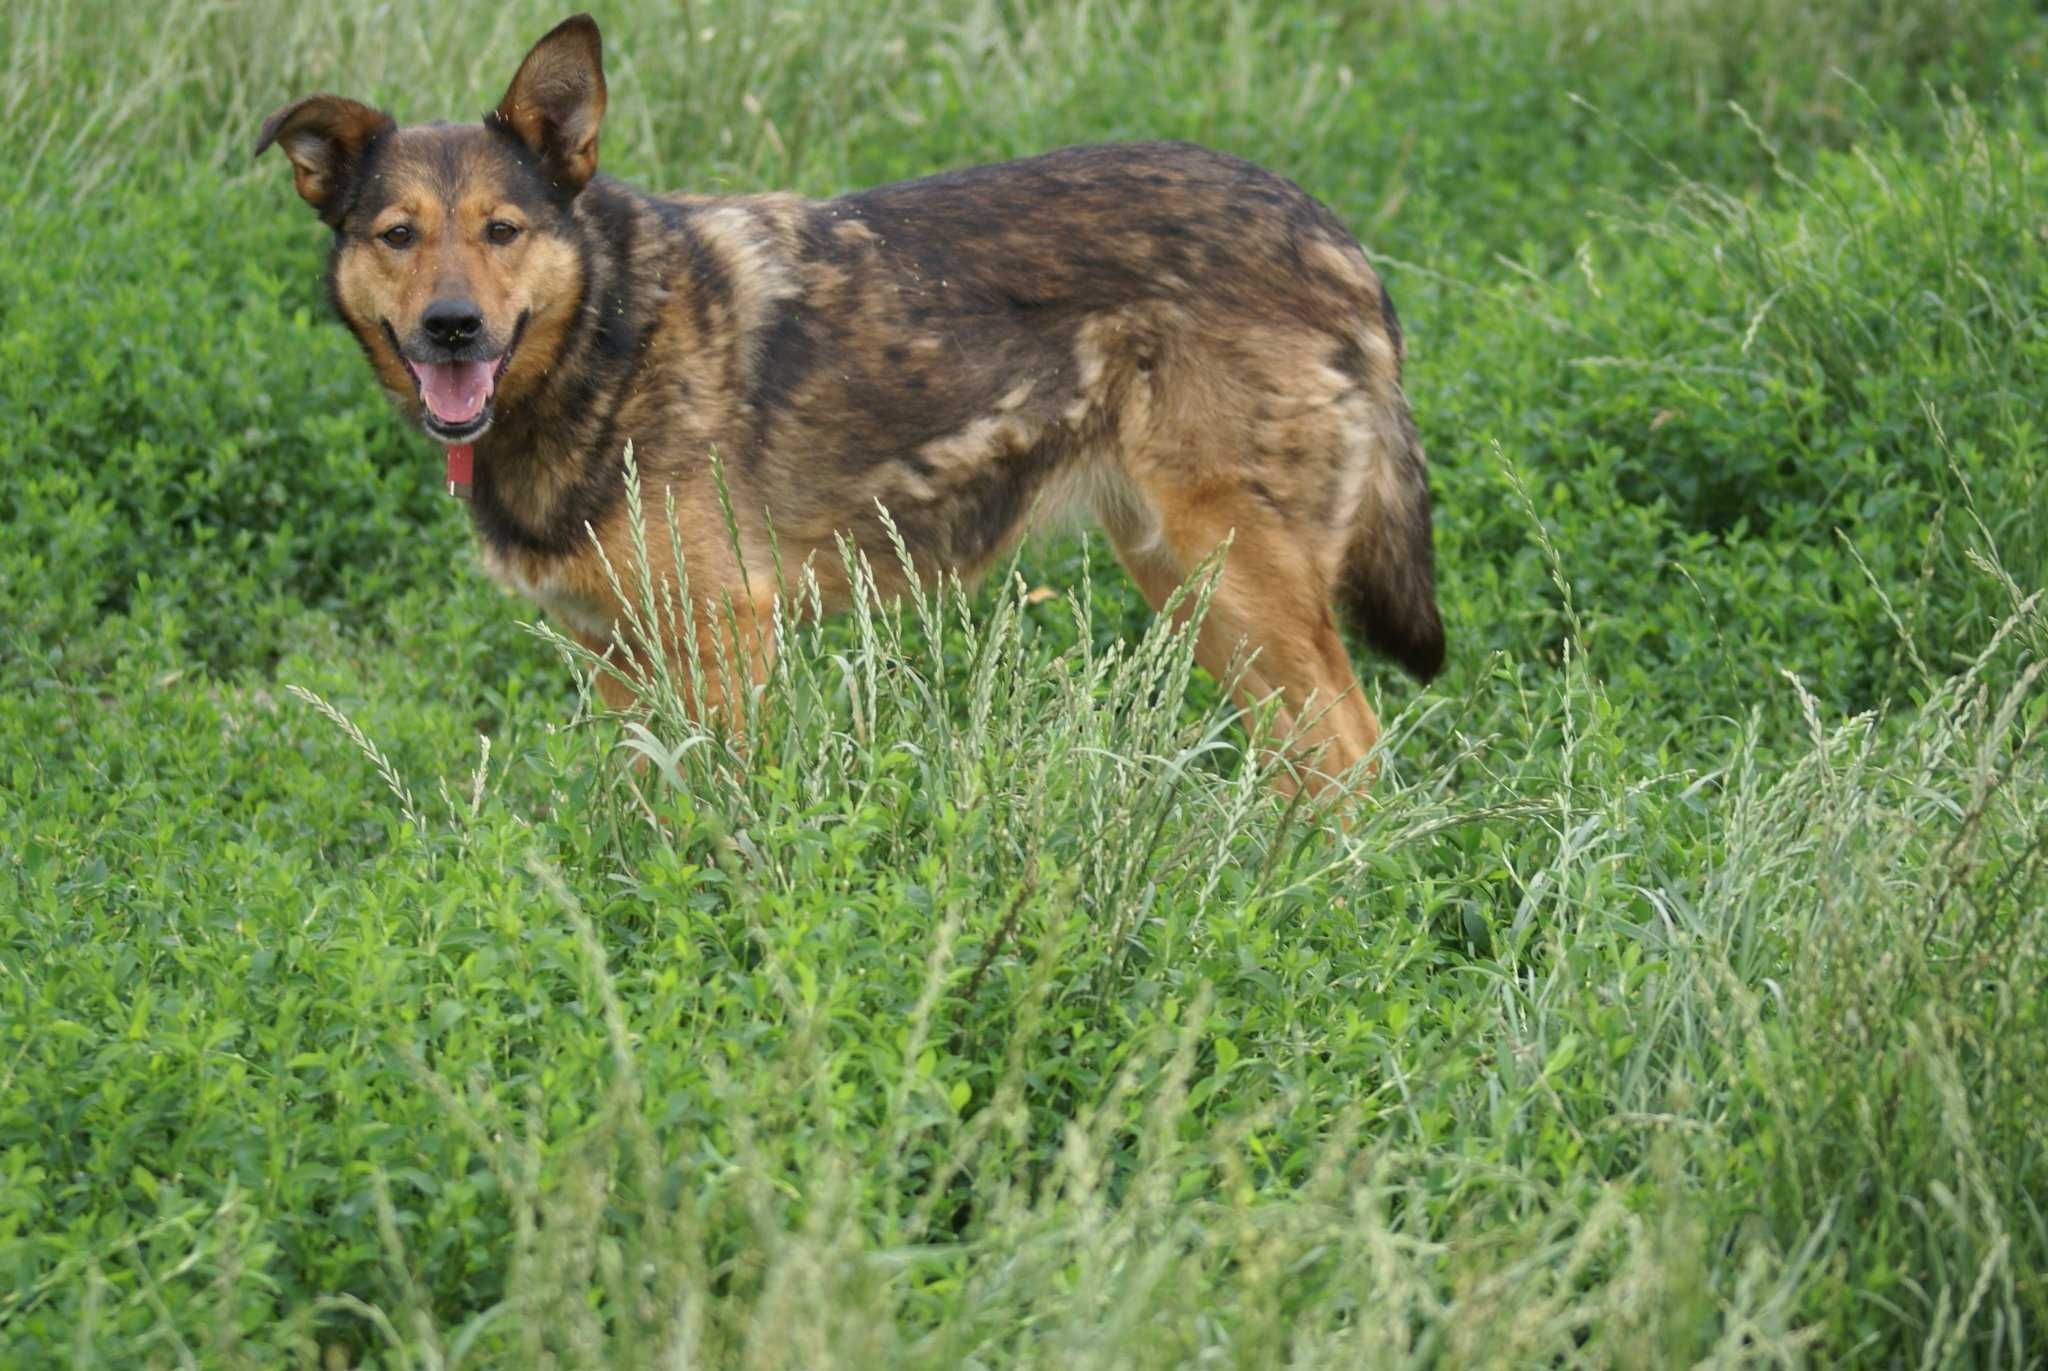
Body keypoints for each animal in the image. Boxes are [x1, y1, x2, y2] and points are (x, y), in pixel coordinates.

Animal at [256, 13, 1441, 791]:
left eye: (502, 230)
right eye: (395, 235)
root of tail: (1329, 230)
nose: (452, 326)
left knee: (1349, 750)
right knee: (1306, 761)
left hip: (1234, 573)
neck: (607, 340)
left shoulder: (723, 644)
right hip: (1188, 582)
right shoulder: (618, 661)